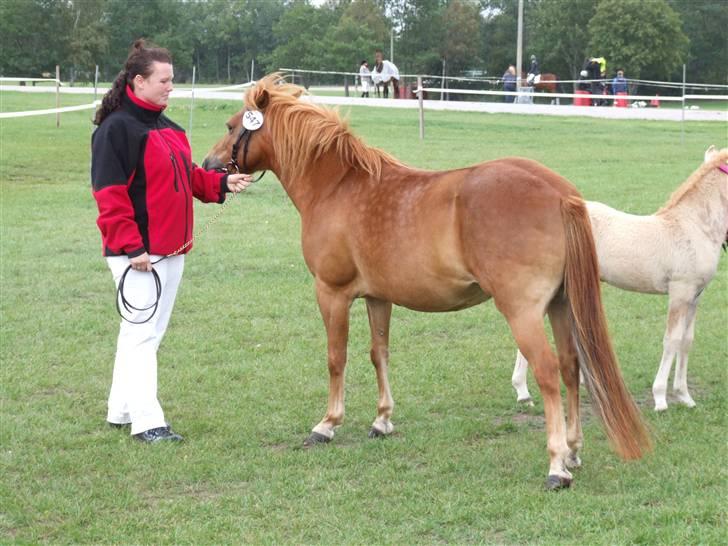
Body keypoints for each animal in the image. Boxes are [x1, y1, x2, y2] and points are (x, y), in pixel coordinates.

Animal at [202, 73, 652, 488]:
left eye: (230, 125)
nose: (209, 165)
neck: (338, 187)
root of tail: (559, 192)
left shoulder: (331, 293)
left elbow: (336, 358)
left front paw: (327, 424)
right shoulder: (378, 297)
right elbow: (379, 353)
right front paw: (382, 420)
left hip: (522, 312)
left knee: (547, 371)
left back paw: (557, 464)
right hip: (561, 306)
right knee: (571, 366)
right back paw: (573, 450)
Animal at [516, 147, 724, 410]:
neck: (693, 226)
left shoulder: (695, 296)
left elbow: (686, 340)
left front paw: (684, 396)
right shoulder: (680, 292)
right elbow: (672, 340)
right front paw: (660, 398)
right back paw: (522, 391)